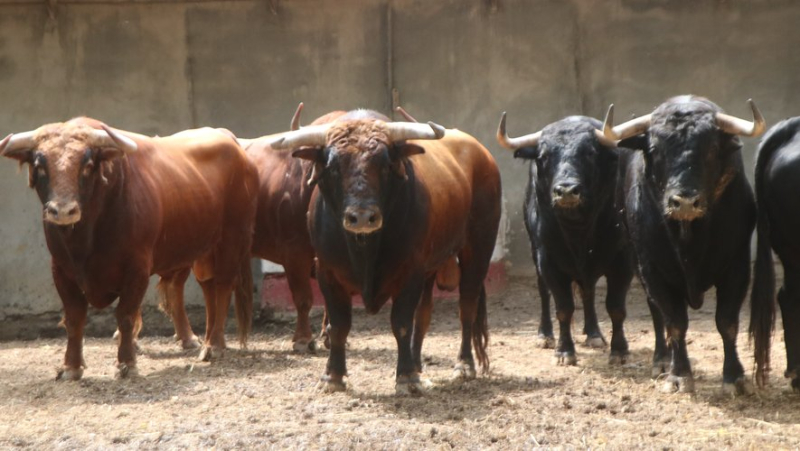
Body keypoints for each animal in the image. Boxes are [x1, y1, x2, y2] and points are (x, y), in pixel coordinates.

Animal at [0, 118, 256, 380]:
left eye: (87, 164)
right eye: (39, 165)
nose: (62, 210)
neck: (85, 238)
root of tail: (228, 139)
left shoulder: (137, 269)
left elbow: (125, 314)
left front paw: (127, 363)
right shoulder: (61, 270)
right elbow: (74, 318)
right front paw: (71, 366)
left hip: (233, 237)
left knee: (223, 285)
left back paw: (214, 345)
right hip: (196, 248)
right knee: (198, 287)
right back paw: (199, 339)